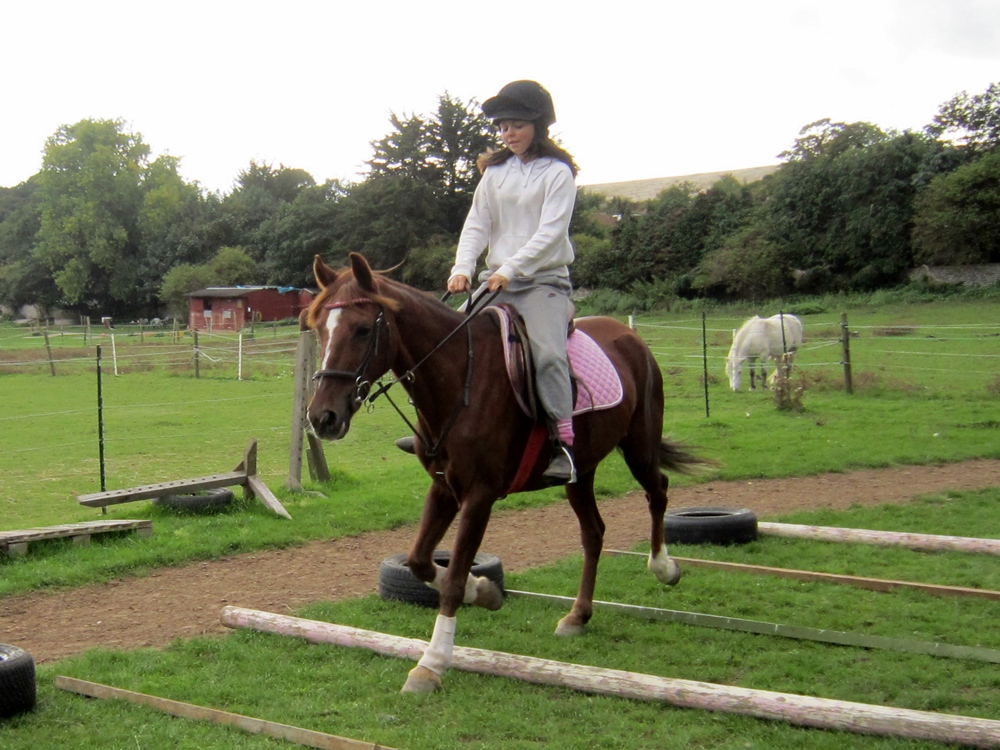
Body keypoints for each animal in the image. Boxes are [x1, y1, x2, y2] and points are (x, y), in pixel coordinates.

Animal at [303, 253, 705, 694]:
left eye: (362, 329)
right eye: (319, 327)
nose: (322, 418)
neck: (460, 378)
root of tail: (629, 336)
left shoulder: (480, 494)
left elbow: (453, 579)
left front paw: (431, 664)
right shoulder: (444, 488)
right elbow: (420, 561)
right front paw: (485, 591)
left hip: (639, 447)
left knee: (658, 490)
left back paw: (664, 568)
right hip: (581, 473)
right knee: (594, 533)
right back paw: (577, 616)